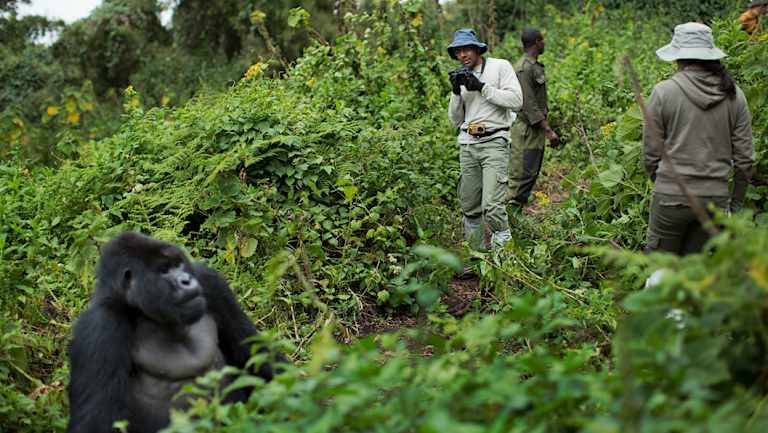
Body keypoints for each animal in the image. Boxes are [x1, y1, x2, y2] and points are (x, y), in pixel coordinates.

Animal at [67, 233, 282, 432]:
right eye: (164, 271)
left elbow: (256, 354)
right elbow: (95, 421)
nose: (187, 280)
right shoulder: (100, 326)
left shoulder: (210, 281)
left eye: (179, 264)